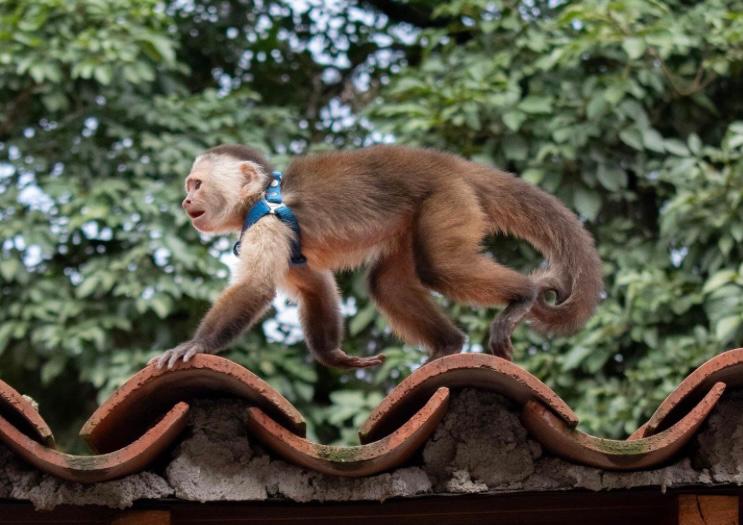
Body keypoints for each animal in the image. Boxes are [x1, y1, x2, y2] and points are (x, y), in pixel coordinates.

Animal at [151, 144, 603, 370]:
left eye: (196, 183)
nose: (185, 200)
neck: (262, 196)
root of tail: (452, 165)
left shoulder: (267, 223)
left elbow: (255, 286)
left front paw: (197, 343)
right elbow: (314, 287)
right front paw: (334, 356)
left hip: (447, 198)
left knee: (439, 267)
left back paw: (523, 297)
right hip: (414, 217)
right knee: (386, 284)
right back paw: (449, 344)